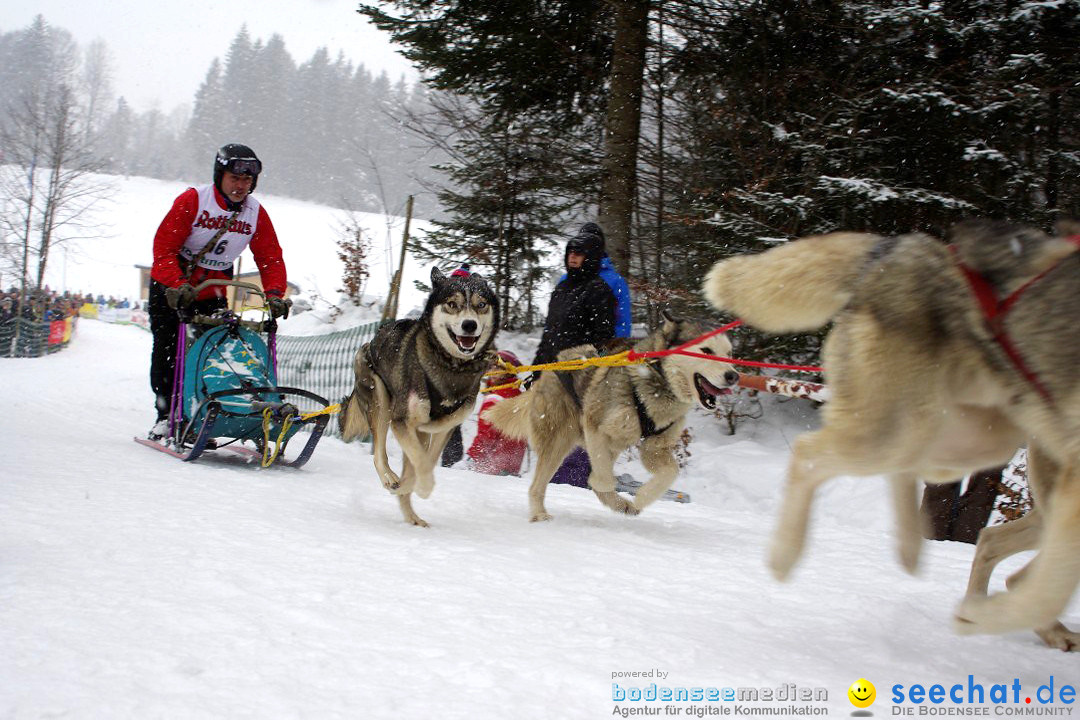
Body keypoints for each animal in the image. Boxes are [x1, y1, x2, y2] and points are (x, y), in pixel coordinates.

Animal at [339, 267, 498, 526]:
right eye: (452, 304)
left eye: (481, 304)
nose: (469, 325)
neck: (452, 367)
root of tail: (370, 341)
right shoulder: (402, 421)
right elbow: (421, 464)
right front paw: (422, 487)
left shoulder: (444, 428)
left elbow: (428, 461)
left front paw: (412, 486)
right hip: (381, 402)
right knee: (379, 454)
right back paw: (391, 480)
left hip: (418, 431)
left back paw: (411, 514)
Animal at [486, 313, 738, 520]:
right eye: (707, 351)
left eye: (729, 354)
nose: (733, 375)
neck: (657, 383)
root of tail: (546, 372)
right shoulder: (595, 426)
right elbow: (602, 479)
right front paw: (611, 487)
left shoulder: (654, 448)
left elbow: (669, 473)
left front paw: (642, 497)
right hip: (559, 441)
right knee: (538, 485)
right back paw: (540, 514)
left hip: (614, 441)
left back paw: (619, 504)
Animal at [704, 218, 1080, 647]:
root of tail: (898, 248)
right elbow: (1047, 587)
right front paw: (983, 615)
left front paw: (986, 614)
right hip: (898, 433)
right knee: (808, 452)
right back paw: (786, 555)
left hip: (968, 436)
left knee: (913, 475)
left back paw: (911, 548)